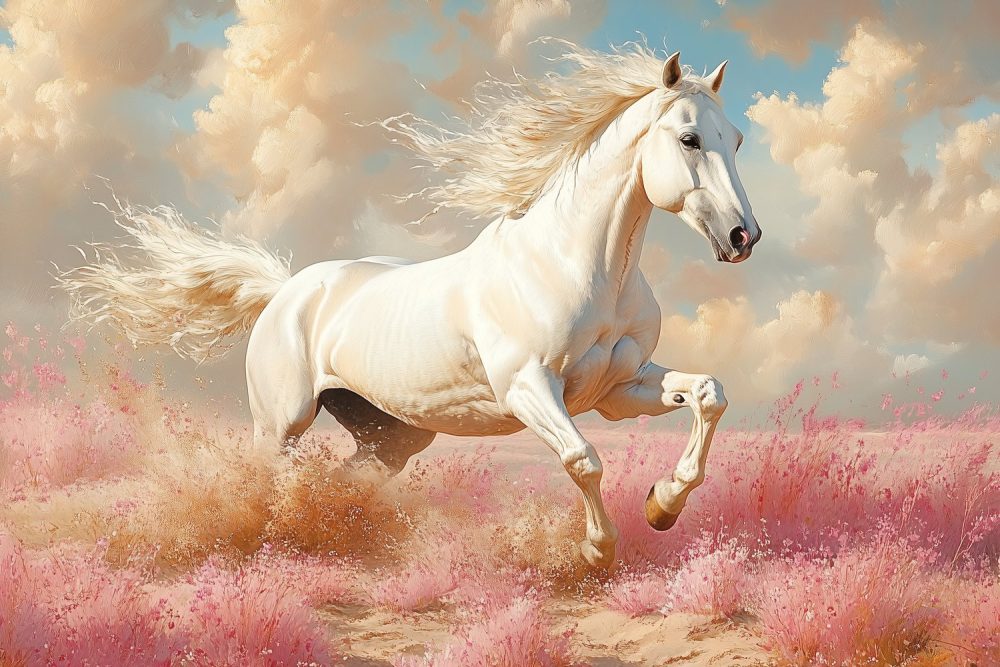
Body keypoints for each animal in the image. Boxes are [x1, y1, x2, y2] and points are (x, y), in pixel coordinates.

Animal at [60, 42, 760, 567]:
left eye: (736, 140)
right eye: (690, 138)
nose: (742, 237)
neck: (573, 265)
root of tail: (285, 290)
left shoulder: (618, 388)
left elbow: (709, 394)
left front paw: (663, 504)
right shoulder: (529, 388)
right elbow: (581, 460)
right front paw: (597, 550)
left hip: (391, 434)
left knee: (346, 479)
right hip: (281, 422)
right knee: (268, 478)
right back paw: (266, 539)